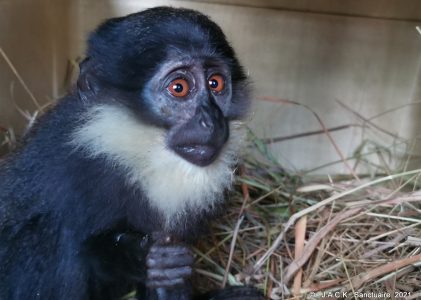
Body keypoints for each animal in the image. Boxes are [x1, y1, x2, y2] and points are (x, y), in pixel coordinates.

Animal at [0, 5, 262, 300]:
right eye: (179, 88)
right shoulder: (69, 170)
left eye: (215, 83)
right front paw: (138, 257)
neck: (135, 159)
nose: (211, 120)